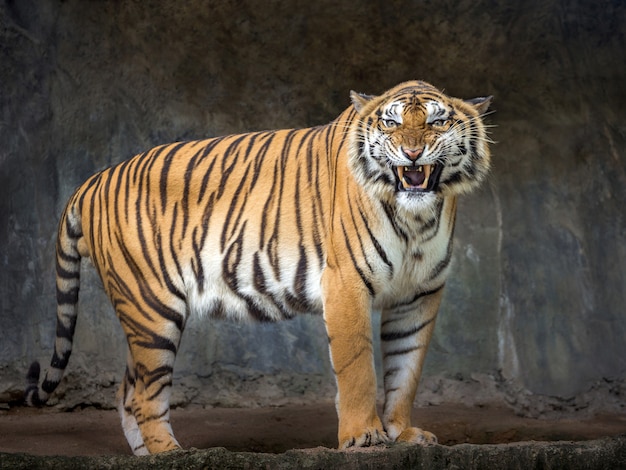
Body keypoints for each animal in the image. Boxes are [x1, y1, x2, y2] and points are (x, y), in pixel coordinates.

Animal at [24, 81, 490, 456]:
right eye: (391, 124)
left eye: (438, 122)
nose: (412, 152)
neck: (417, 218)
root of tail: (93, 180)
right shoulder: (346, 283)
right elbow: (358, 368)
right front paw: (363, 438)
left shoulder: (419, 295)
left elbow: (405, 370)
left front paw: (402, 433)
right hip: (152, 308)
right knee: (144, 396)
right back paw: (171, 455)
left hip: (140, 314)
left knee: (127, 391)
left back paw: (147, 456)